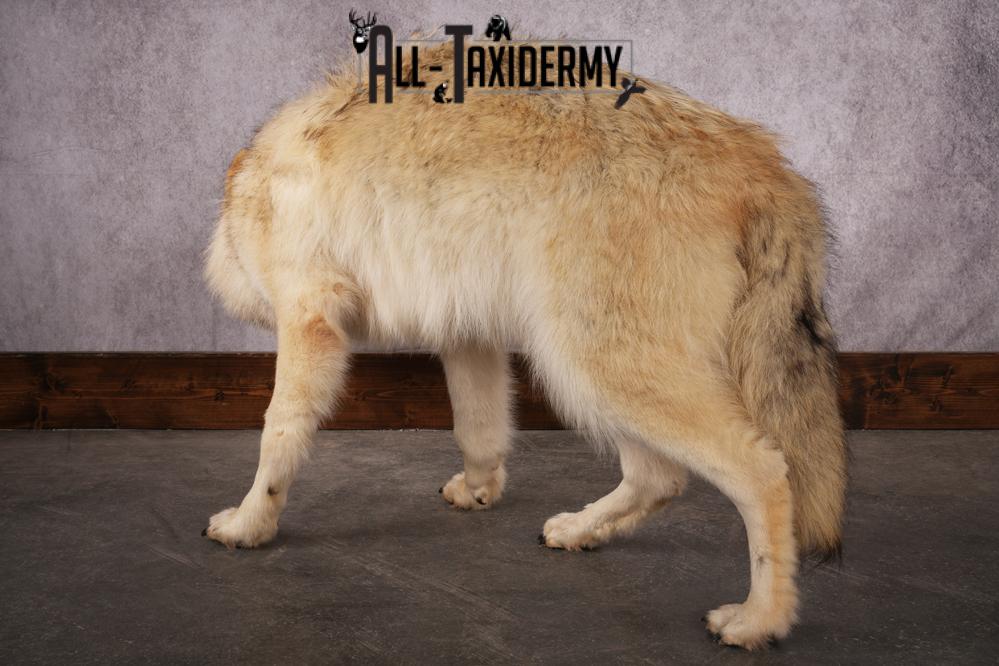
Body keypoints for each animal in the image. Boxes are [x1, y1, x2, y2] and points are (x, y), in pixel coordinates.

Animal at [203, 43, 846, 650]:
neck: (255, 180)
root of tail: (762, 162)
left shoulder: (309, 321)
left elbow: (278, 434)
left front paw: (250, 523)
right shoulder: (467, 333)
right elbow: (479, 430)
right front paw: (478, 490)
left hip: (591, 366)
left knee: (763, 472)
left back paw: (760, 620)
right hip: (599, 374)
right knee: (660, 478)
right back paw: (579, 531)